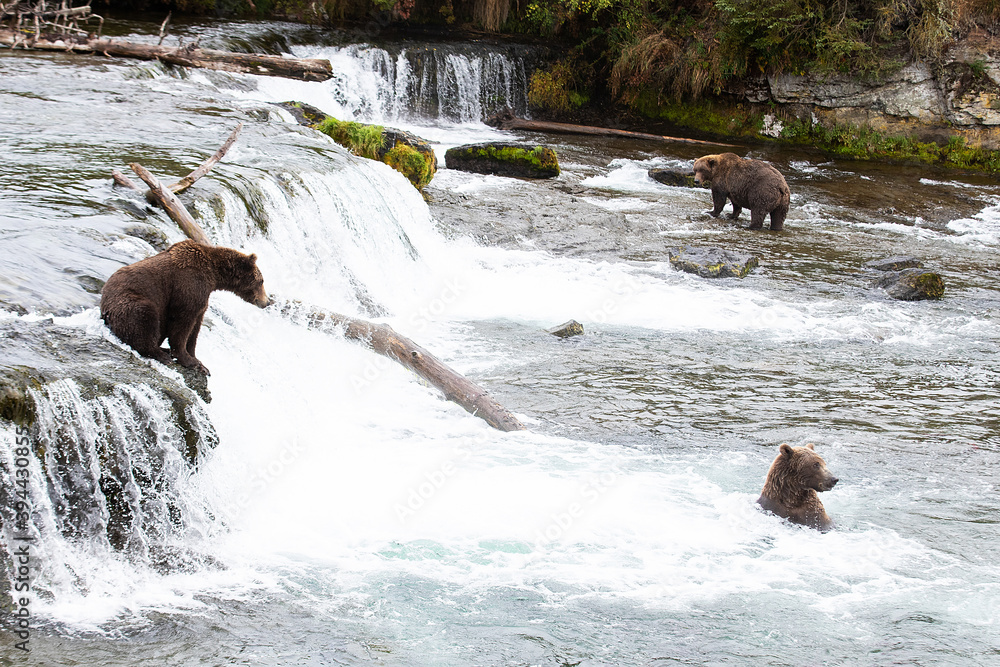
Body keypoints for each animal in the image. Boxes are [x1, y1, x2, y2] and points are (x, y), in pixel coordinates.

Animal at [101, 240, 269, 376]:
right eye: (261, 281)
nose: (266, 302)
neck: (214, 276)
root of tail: (103, 308)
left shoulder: (201, 299)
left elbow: (195, 328)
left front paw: (197, 360)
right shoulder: (187, 286)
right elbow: (182, 323)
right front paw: (190, 361)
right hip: (130, 303)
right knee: (144, 319)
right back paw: (161, 354)